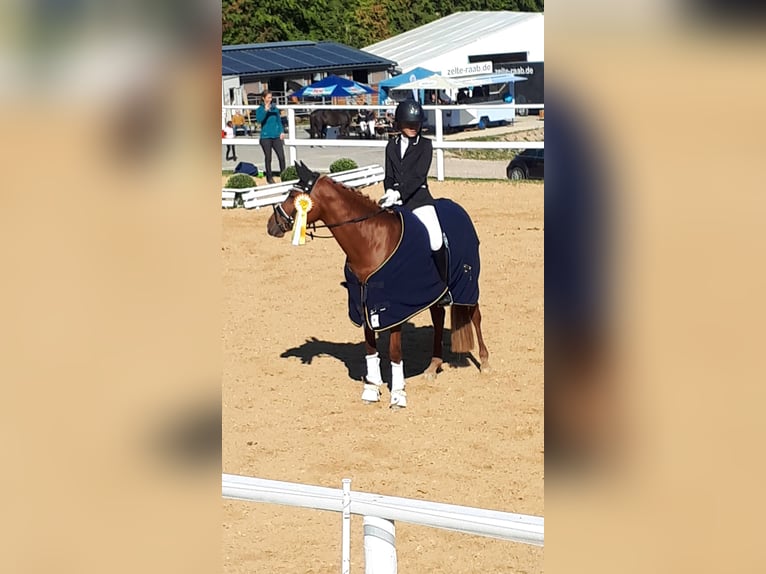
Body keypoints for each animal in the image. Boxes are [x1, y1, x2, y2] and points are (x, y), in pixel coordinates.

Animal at [268, 162, 488, 410]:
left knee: (475, 316)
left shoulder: (394, 310)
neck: (371, 241)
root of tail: (458, 209)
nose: (272, 225)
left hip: (466, 286)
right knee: (439, 318)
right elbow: (370, 349)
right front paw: (371, 390)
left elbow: (394, 352)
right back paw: (433, 366)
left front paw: (398, 395)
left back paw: (485, 363)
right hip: (434, 293)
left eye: (293, 195)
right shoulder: (364, 305)